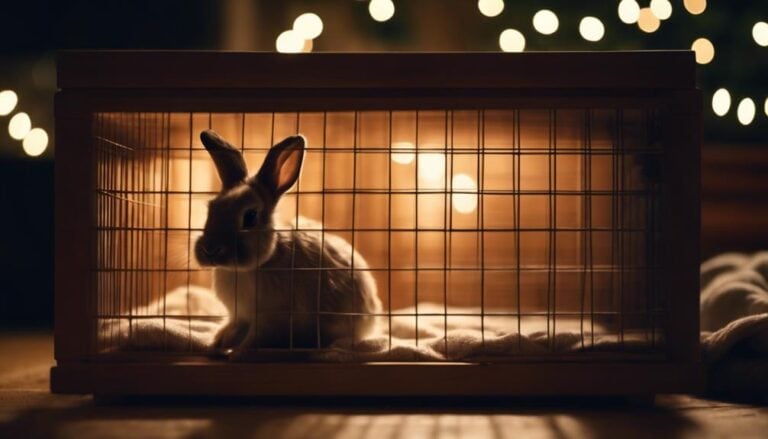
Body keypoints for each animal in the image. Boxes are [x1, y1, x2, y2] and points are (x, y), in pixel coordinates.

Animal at [194, 129, 381, 357]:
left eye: (250, 217)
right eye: (211, 208)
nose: (210, 249)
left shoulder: (273, 319)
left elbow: (255, 339)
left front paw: (237, 354)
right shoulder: (239, 317)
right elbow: (232, 330)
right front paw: (214, 345)